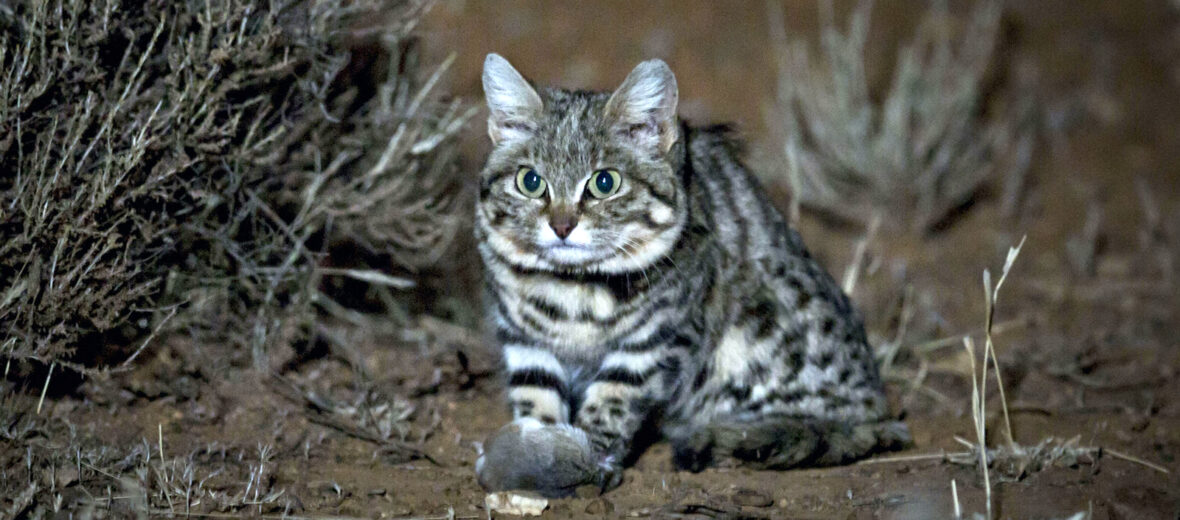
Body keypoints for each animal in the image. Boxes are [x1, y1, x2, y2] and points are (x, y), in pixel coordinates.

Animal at [474, 52, 906, 495]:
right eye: (530, 181)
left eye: (605, 182)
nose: (561, 227)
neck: (572, 285)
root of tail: (876, 412)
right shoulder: (524, 341)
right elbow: (536, 400)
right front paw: (537, 451)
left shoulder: (654, 344)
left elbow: (611, 403)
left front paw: (584, 460)